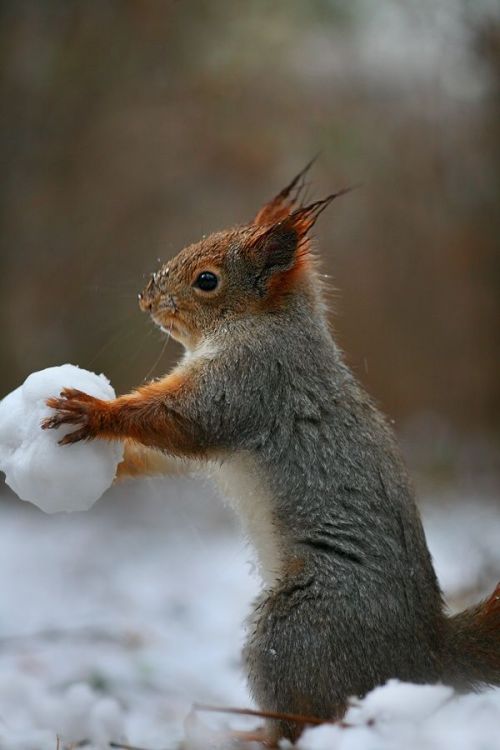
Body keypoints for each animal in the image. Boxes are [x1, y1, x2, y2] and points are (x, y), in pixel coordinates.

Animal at [43, 164, 500, 748]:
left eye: (207, 280)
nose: (146, 298)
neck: (265, 324)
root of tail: (425, 658)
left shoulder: (250, 382)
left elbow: (182, 422)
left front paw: (95, 412)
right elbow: (171, 455)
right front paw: (112, 463)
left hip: (298, 629)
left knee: (307, 717)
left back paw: (253, 734)